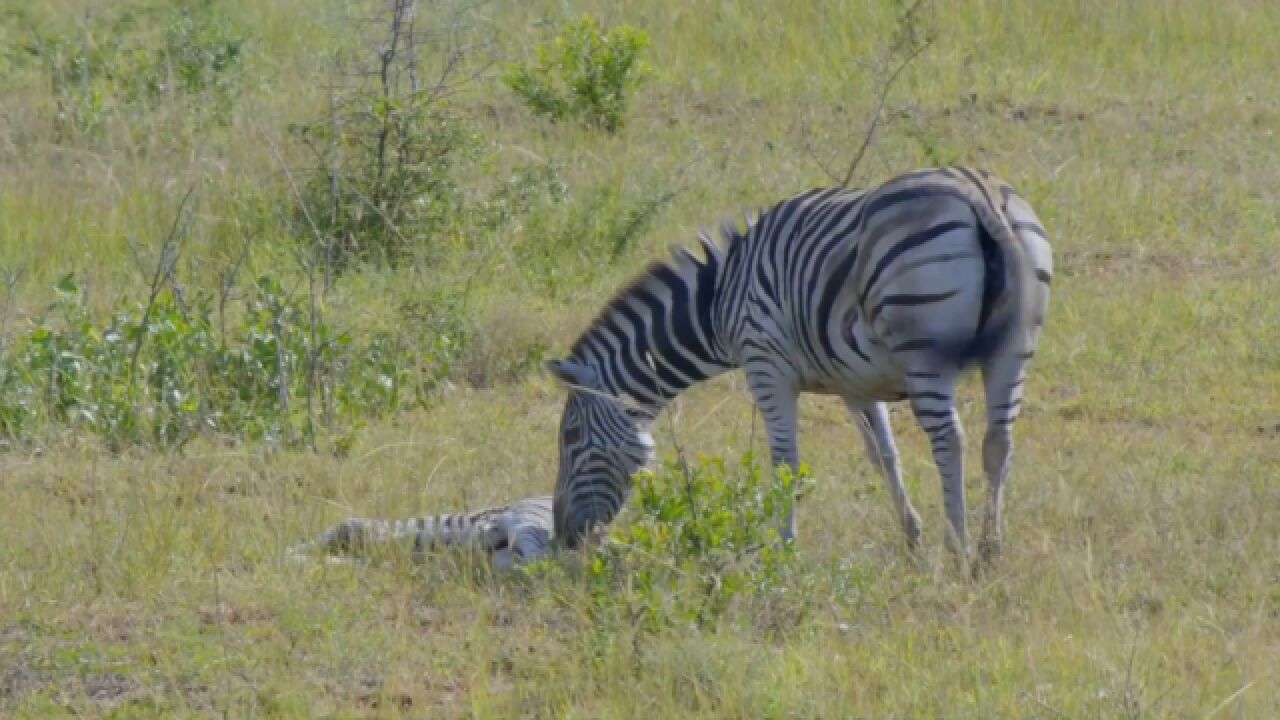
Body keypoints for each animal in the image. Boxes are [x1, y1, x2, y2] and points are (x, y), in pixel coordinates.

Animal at [545, 165, 1054, 563]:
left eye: (570, 437)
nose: (564, 536)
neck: (718, 300)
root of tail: (980, 193)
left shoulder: (765, 365)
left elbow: (785, 461)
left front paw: (783, 549)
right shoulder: (857, 382)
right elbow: (883, 455)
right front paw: (911, 538)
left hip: (923, 349)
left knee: (950, 440)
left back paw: (958, 548)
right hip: (1014, 348)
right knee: (998, 442)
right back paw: (989, 550)